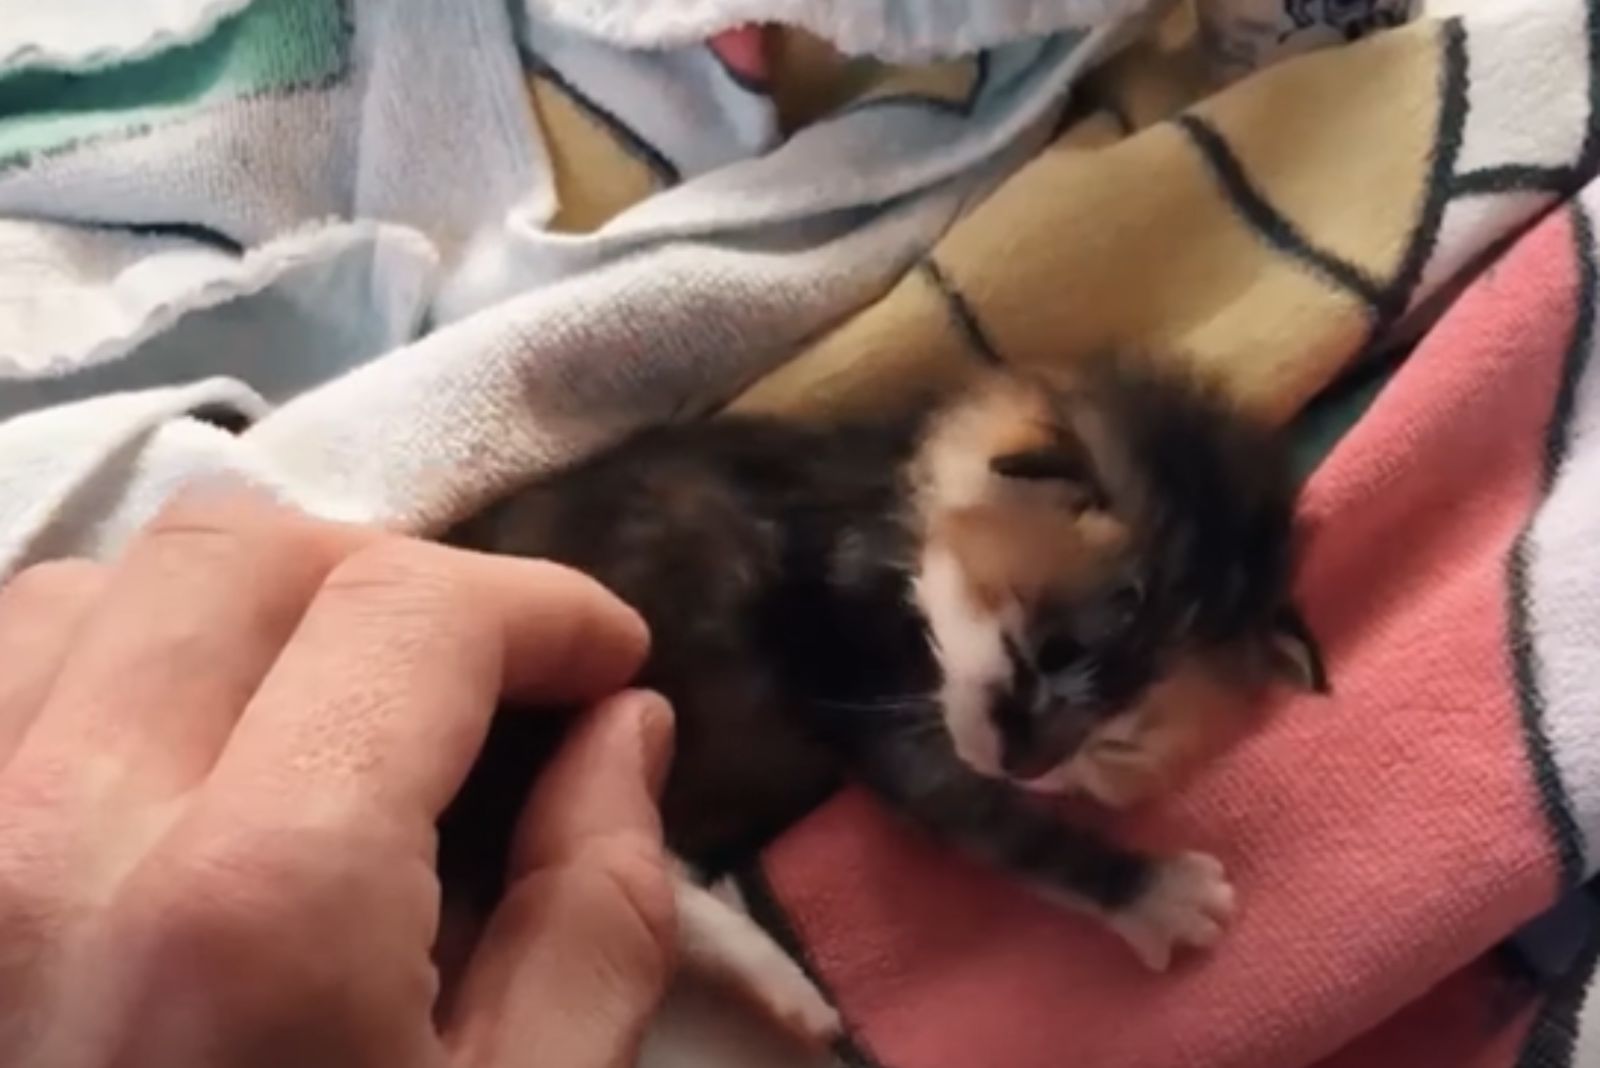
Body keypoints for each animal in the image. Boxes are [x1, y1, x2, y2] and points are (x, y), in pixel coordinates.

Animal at [441, 351, 1324, 1042]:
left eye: (1118, 732)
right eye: (1038, 655)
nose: (1022, 768)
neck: (900, 510)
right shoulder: (861, 679)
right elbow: (991, 823)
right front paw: (1158, 896)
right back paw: (785, 985)